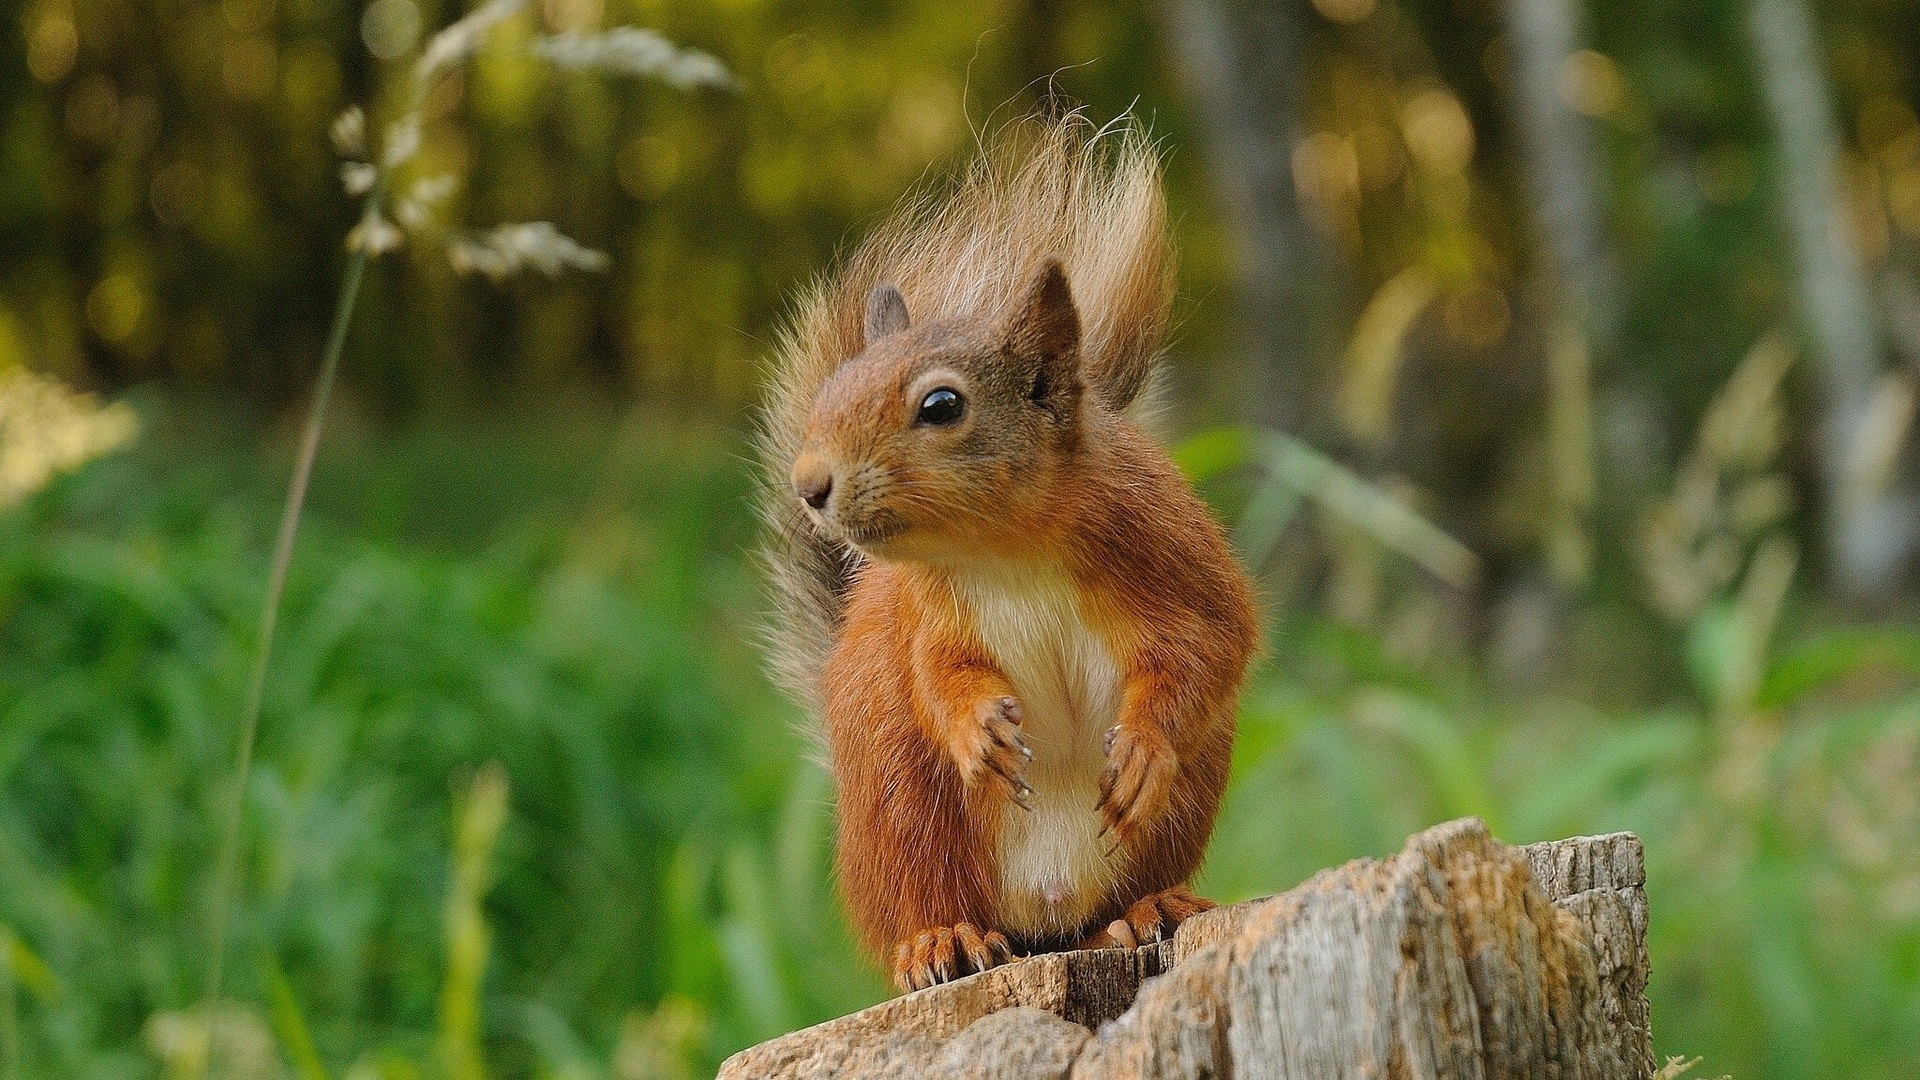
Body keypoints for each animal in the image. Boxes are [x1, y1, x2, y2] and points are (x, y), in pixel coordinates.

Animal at [757, 114, 1258, 993]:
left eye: (941, 405)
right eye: (832, 391)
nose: (809, 484)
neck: (1004, 550)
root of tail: (1041, 917)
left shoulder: (1171, 552)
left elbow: (1209, 646)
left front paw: (1142, 749)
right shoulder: (928, 614)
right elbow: (939, 676)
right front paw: (976, 731)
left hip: (1175, 812)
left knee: (1109, 906)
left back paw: (1145, 909)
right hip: (902, 807)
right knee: (930, 899)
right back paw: (941, 941)